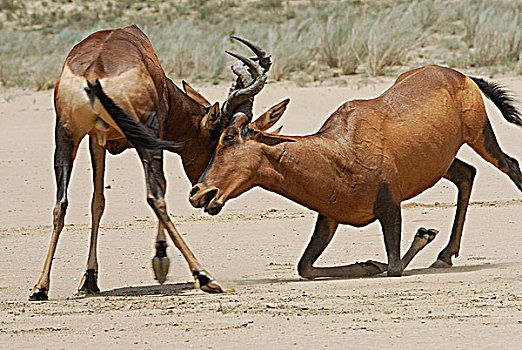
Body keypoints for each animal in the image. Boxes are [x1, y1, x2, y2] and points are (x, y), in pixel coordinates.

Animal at [29, 23, 272, 300]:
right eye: (220, 139)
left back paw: (40, 287)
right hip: (146, 137)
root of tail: (93, 73)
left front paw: (89, 279)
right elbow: (161, 187)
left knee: (60, 204)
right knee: (156, 197)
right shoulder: (157, 133)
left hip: (66, 136)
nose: (206, 196)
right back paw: (204, 276)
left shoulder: (96, 139)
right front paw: (161, 261)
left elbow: (97, 202)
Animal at [189, 65, 520, 278]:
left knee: (511, 165)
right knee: (467, 174)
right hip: (441, 163)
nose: (199, 192)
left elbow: (393, 267)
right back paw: (444, 256)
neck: (340, 149)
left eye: (229, 137)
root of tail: (460, 75)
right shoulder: (329, 218)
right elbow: (305, 267)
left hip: (479, 136)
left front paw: (421, 236)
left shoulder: (390, 206)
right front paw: (368, 265)